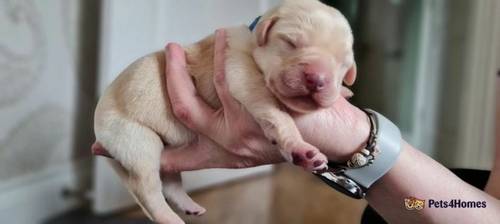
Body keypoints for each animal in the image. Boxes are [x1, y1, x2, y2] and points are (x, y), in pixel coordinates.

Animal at [93, 0, 356, 223]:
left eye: (342, 63)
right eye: (291, 43)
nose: (317, 79)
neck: (253, 43)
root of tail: (98, 129)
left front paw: (343, 92)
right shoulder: (245, 78)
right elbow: (278, 115)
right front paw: (300, 148)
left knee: (169, 180)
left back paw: (188, 205)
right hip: (137, 139)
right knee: (147, 188)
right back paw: (169, 218)